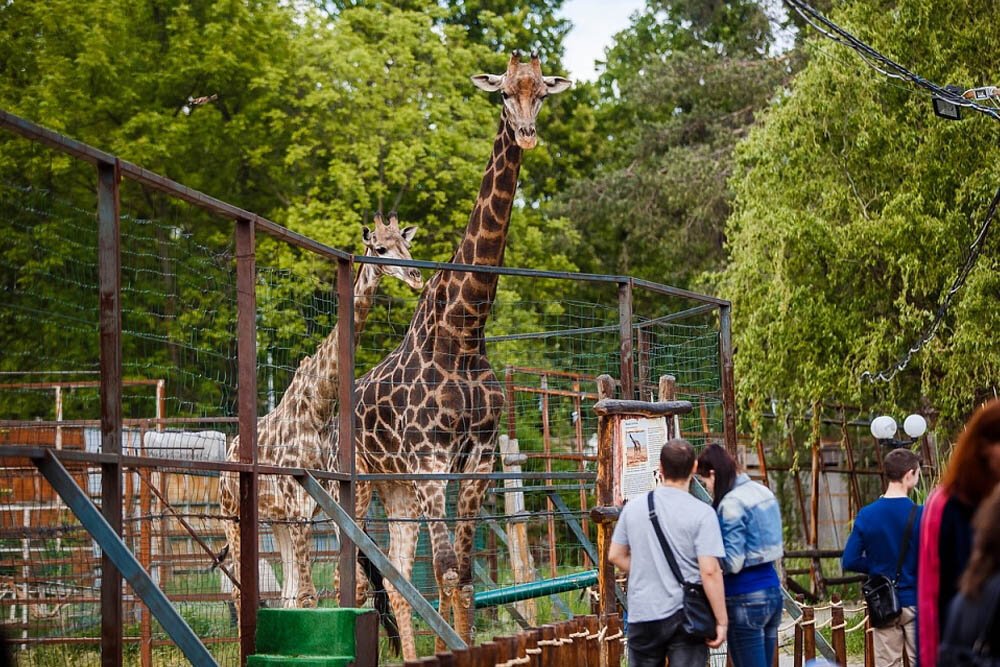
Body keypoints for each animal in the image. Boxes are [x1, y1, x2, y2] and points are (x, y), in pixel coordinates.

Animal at [219, 214, 422, 628]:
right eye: (380, 248)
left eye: (407, 246)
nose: (415, 277)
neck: (318, 406)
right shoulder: (299, 510)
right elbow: (310, 596)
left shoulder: (315, 512)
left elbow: (327, 590)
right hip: (232, 515)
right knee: (241, 591)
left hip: (277, 521)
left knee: (284, 594)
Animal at [340, 54, 568, 660]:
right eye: (504, 94)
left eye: (541, 93)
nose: (527, 134)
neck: (464, 331)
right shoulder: (429, 458)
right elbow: (443, 572)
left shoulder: (479, 458)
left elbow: (462, 577)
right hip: (364, 481)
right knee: (359, 576)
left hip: (396, 487)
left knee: (396, 572)